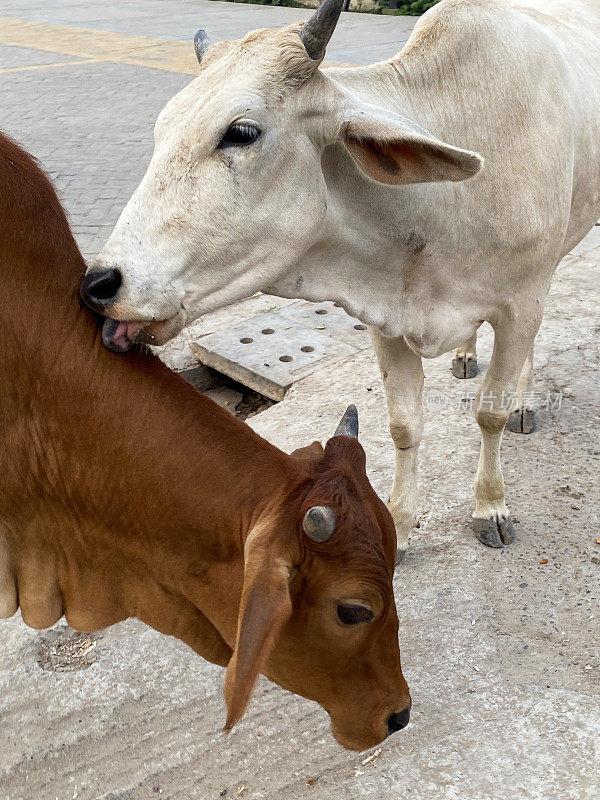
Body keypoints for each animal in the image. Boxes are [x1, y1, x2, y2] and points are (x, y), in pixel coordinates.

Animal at [83, 0, 600, 560]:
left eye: (241, 132)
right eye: (162, 129)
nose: (100, 283)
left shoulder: (518, 303)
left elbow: (491, 413)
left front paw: (490, 506)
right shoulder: (387, 318)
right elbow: (402, 425)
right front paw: (399, 522)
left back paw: (524, 400)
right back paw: (464, 354)